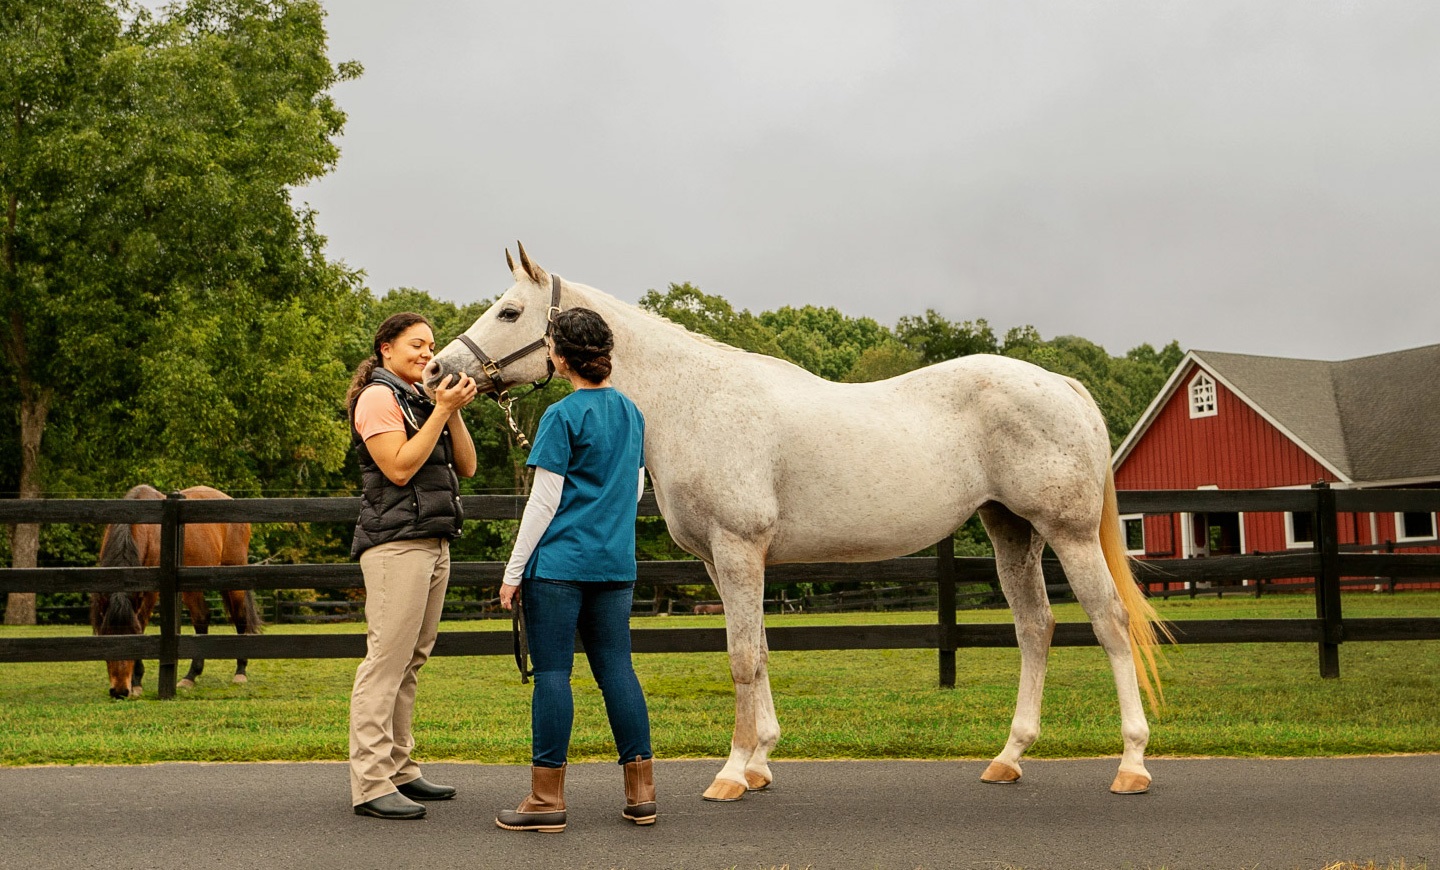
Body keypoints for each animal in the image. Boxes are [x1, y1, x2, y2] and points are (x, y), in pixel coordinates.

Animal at [91, 486, 262, 697]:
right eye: (105, 635)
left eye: (134, 633)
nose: (120, 691)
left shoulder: (149, 594)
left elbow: (142, 623)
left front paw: (137, 682)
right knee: (201, 618)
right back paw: (191, 676)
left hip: (234, 576)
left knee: (240, 617)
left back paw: (240, 672)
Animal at [434, 243, 1169, 795]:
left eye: (509, 310)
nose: (442, 371)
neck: (693, 401)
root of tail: (1061, 384)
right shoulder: (728, 561)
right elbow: (758, 650)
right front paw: (761, 760)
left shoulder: (737, 550)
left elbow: (740, 657)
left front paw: (732, 772)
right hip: (1009, 531)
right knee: (1036, 628)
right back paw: (1010, 756)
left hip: (1069, 535)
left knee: (1109, 623)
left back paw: (1132, 762)